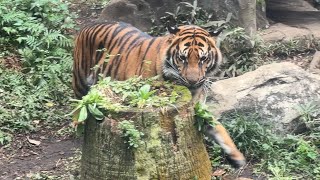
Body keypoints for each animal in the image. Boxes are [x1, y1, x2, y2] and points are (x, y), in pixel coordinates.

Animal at [72, 21, 246, 168]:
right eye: (182, 58)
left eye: (203, 59)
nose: (193, 81)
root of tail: (89, 25)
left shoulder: (197, 109)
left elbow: (219, 129)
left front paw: (238, 157)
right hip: (80, 82)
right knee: (79, 105)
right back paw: (77, 125)